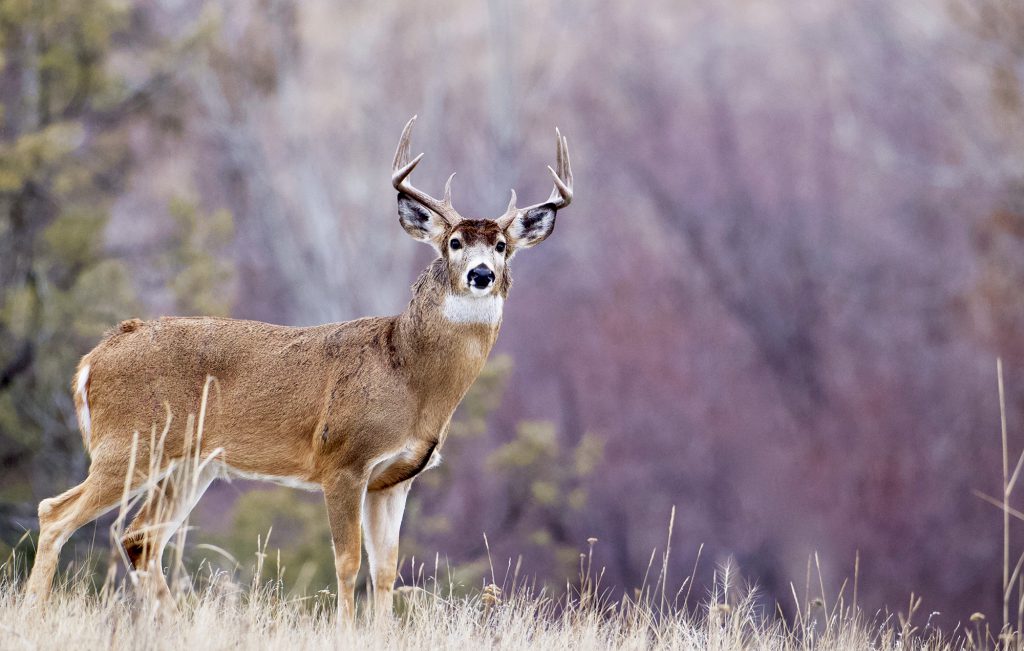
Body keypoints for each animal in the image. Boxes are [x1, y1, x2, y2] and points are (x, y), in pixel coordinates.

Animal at [24, 117, 573, 622]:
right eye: (455, 243)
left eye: (500, 246)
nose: (481, 274)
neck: (408, 378)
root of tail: (94, 358)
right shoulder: (343, 460)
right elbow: (349, 564)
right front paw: (346, 632)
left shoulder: (395, 479)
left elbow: (386, 571)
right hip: (129, 442)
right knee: (57, 514)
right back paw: (35, 614)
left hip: (189, 465)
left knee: (138, 537)